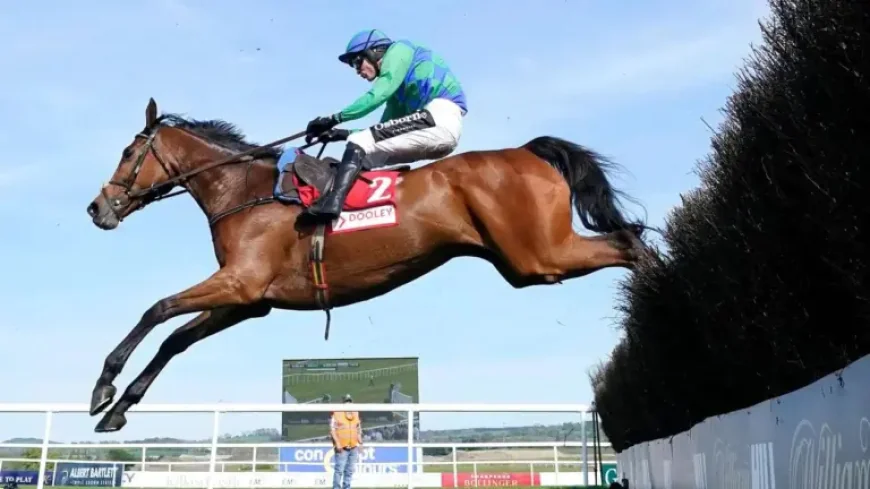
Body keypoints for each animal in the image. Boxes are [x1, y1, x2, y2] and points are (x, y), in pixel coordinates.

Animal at [85, 98, 650, 432]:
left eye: (128, 152)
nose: (97, 208)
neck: (244, 191)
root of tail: (528, 152)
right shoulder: (248, 300)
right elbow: (174, 339)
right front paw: (117, 409)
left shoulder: (239, 282)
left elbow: (157, 310)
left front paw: (103, 384)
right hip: (526, 261)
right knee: (628, 241)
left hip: (538, 254)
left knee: (630, 243)